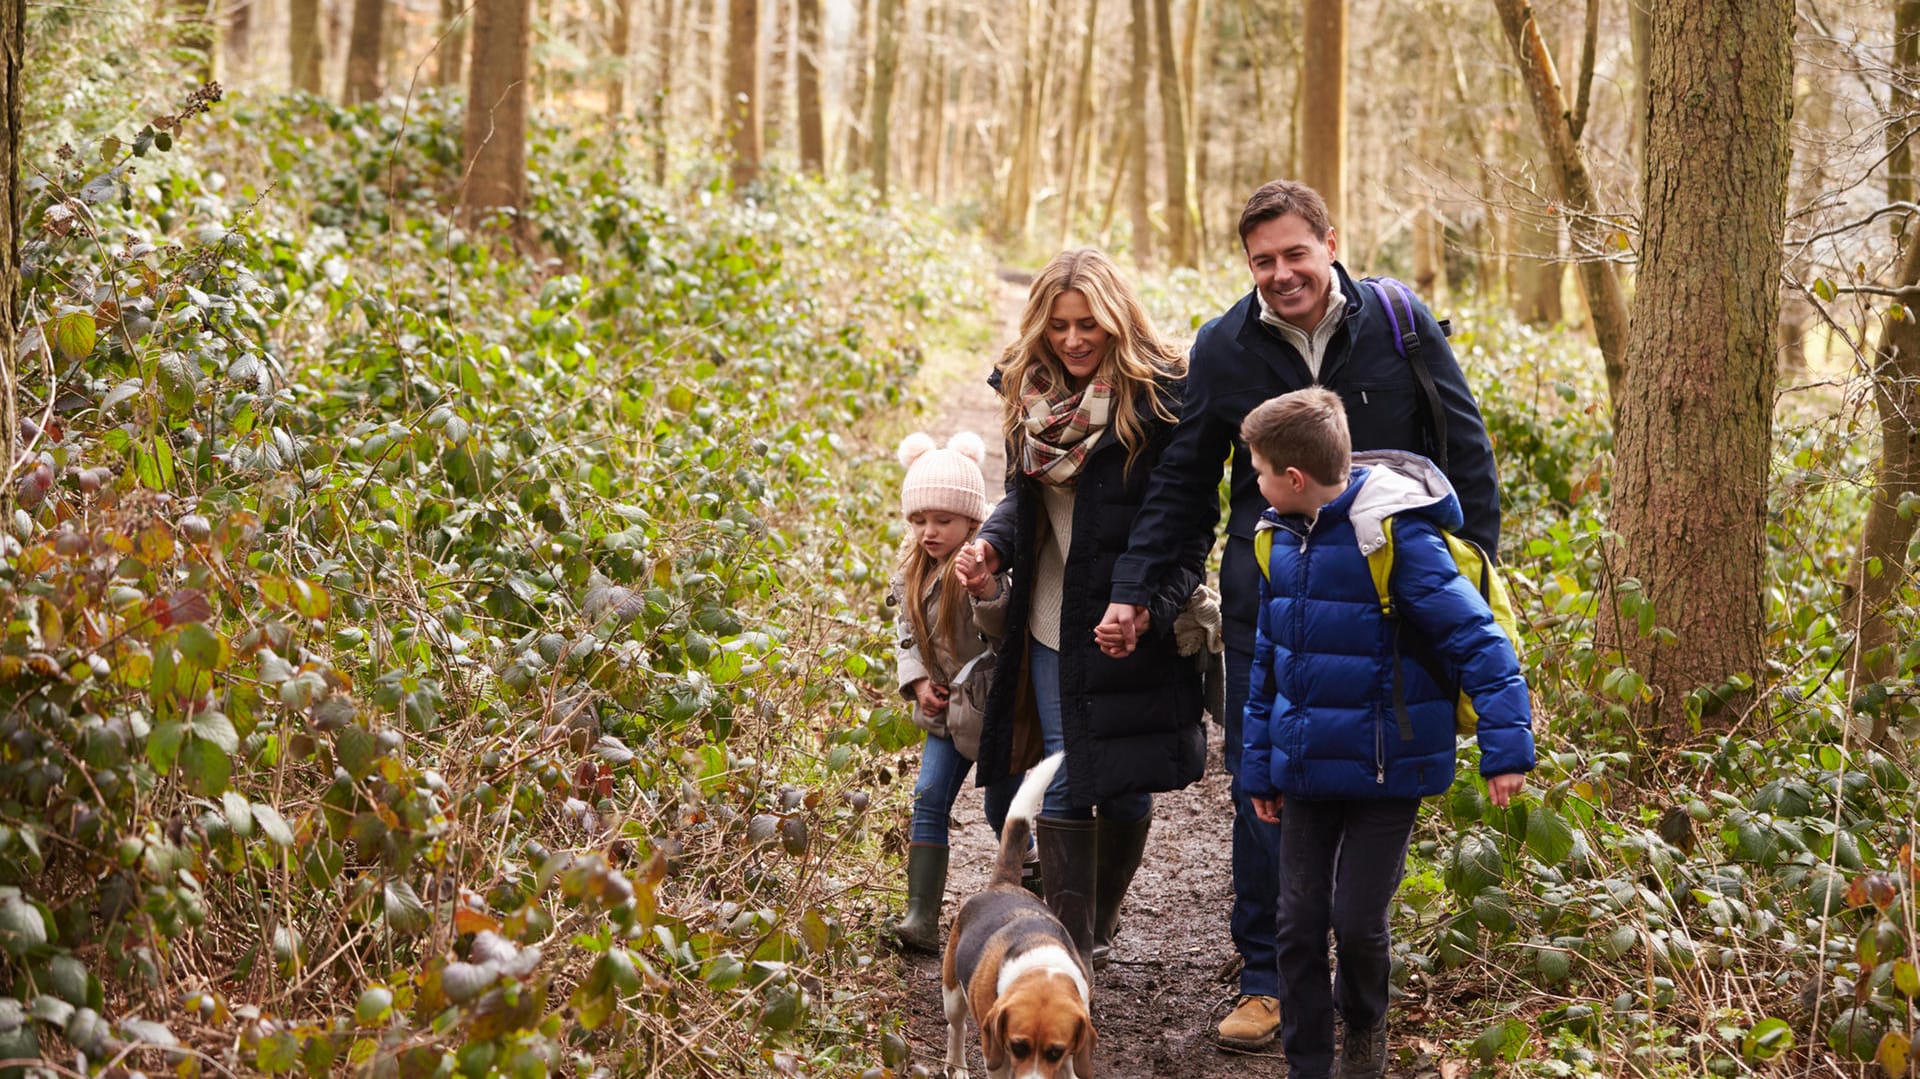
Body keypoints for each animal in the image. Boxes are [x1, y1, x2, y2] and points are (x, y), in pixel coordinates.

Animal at [940, 752, 1098, 1067]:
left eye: (1055, 1051)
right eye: (1018, 1046)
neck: (1040, 966)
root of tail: (1004, 884)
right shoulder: (997, 1051)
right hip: (952, 993)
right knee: (956, 1027)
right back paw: (957, 1065)